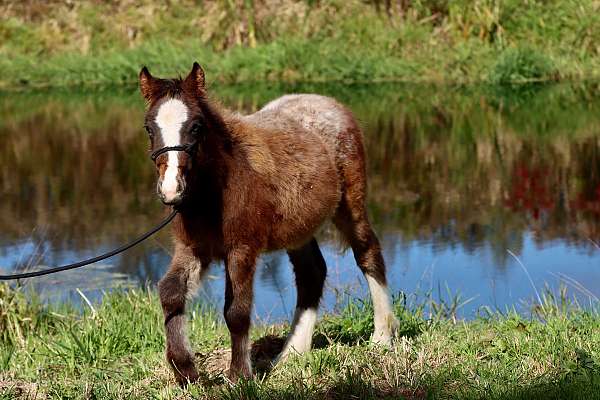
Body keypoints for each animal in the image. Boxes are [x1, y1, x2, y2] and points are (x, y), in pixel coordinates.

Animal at [138, 63, 396, 388]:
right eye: (149, 128)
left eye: (196, 126)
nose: (171, 190)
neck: (215, 191)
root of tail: (329, 101)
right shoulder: (194, 247)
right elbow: (170, 292)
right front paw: (186, 370)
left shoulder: (242, 248)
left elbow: (236, 311)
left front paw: (239, 377)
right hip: (300, 228)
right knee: (312, 273)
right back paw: (292, 353)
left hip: (350, 204)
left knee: (367, 252)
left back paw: (382, 337)